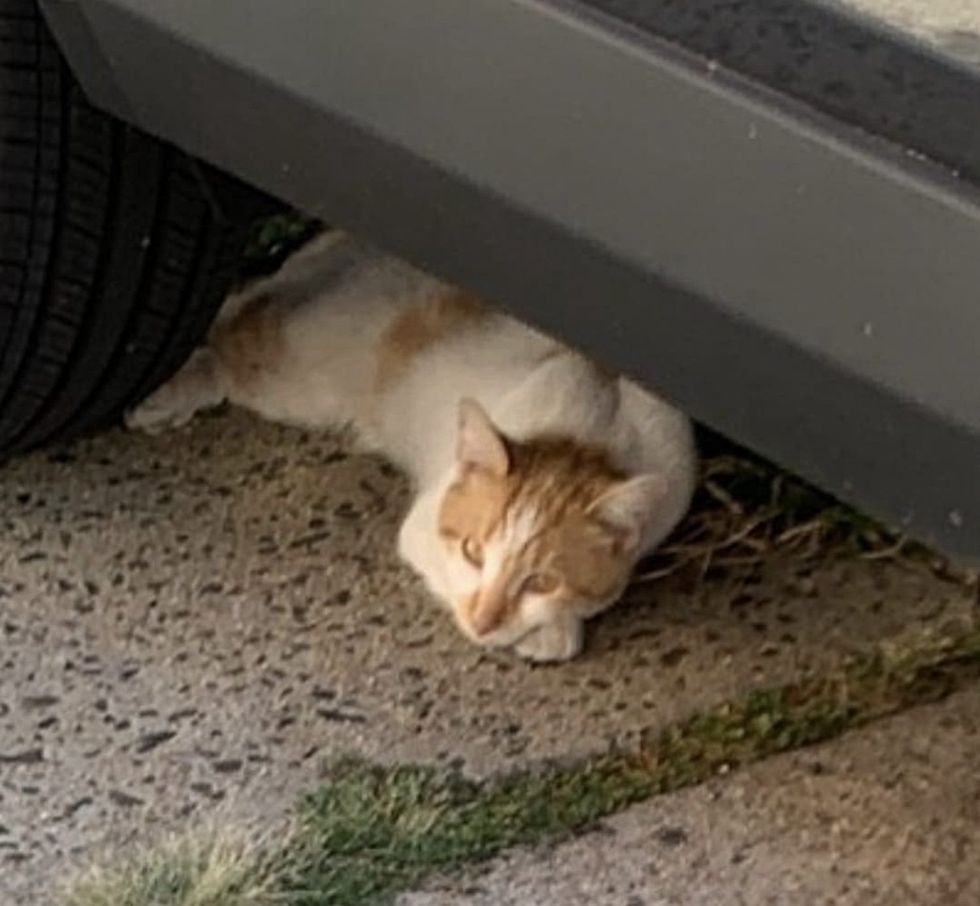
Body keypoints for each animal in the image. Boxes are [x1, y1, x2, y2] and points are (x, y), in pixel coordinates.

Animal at [128, 230, 696, 660]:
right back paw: (169, 390)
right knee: (237, 319)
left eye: (541, 582)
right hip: (300, 372)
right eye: (472, 551)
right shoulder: (424, 524)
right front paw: (551, 635)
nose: (482, 621)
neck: (596, 425)